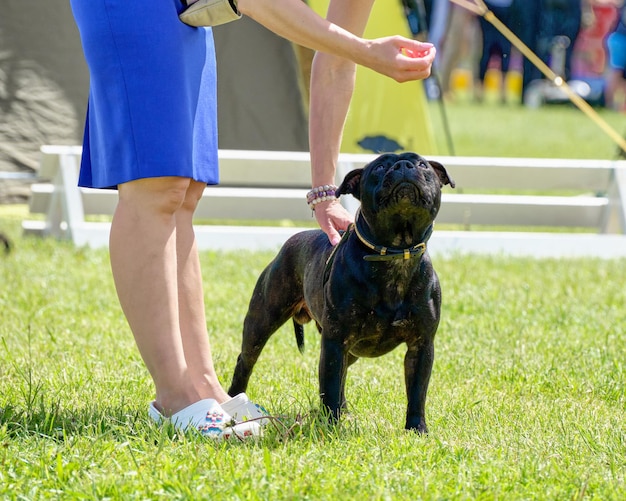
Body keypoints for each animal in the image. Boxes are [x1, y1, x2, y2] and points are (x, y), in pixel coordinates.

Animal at [229, 151, 454, 430]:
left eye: (423, 165)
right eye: (379, 167)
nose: (403, 165)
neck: (395, 254)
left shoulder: (421, 346)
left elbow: (417, 392)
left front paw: (417, 429)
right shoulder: (336, 341)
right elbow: (332, 384)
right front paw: (331, 428)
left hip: (350, 348)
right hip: (262, 322)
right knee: (245, 361)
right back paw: (232, 399)